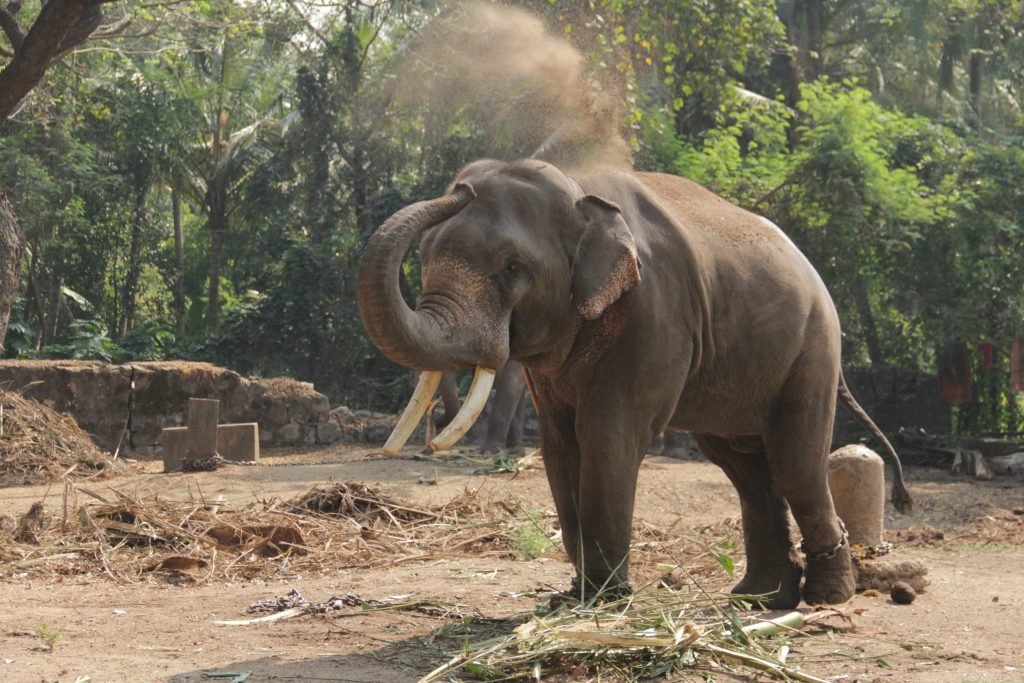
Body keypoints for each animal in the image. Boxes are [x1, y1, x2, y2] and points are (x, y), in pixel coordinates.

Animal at [358, 157, 913, 606]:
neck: (579, 189)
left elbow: (608, 437)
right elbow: (561, 446)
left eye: (513, 268)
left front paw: (605, 599)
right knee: (742, 464)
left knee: (794, 460)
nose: (462, 187)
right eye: (424, 256)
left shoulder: (654, 312)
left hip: (812, 350)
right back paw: (760, 598)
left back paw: (826, 599)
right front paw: (575, 597)